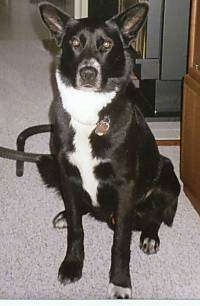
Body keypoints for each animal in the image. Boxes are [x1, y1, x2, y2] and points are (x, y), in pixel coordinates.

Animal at [38, 1, 180, 298]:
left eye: (106, 45)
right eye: (75, 43)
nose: (88, 73)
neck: (89, 113)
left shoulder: (125, 187)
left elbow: (120, 243)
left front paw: (120, 281)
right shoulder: (67, 175)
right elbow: (76, 229)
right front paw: (72, 264)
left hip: (167, 176)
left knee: (156, 214)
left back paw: (150, 236)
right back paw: (66, 215)